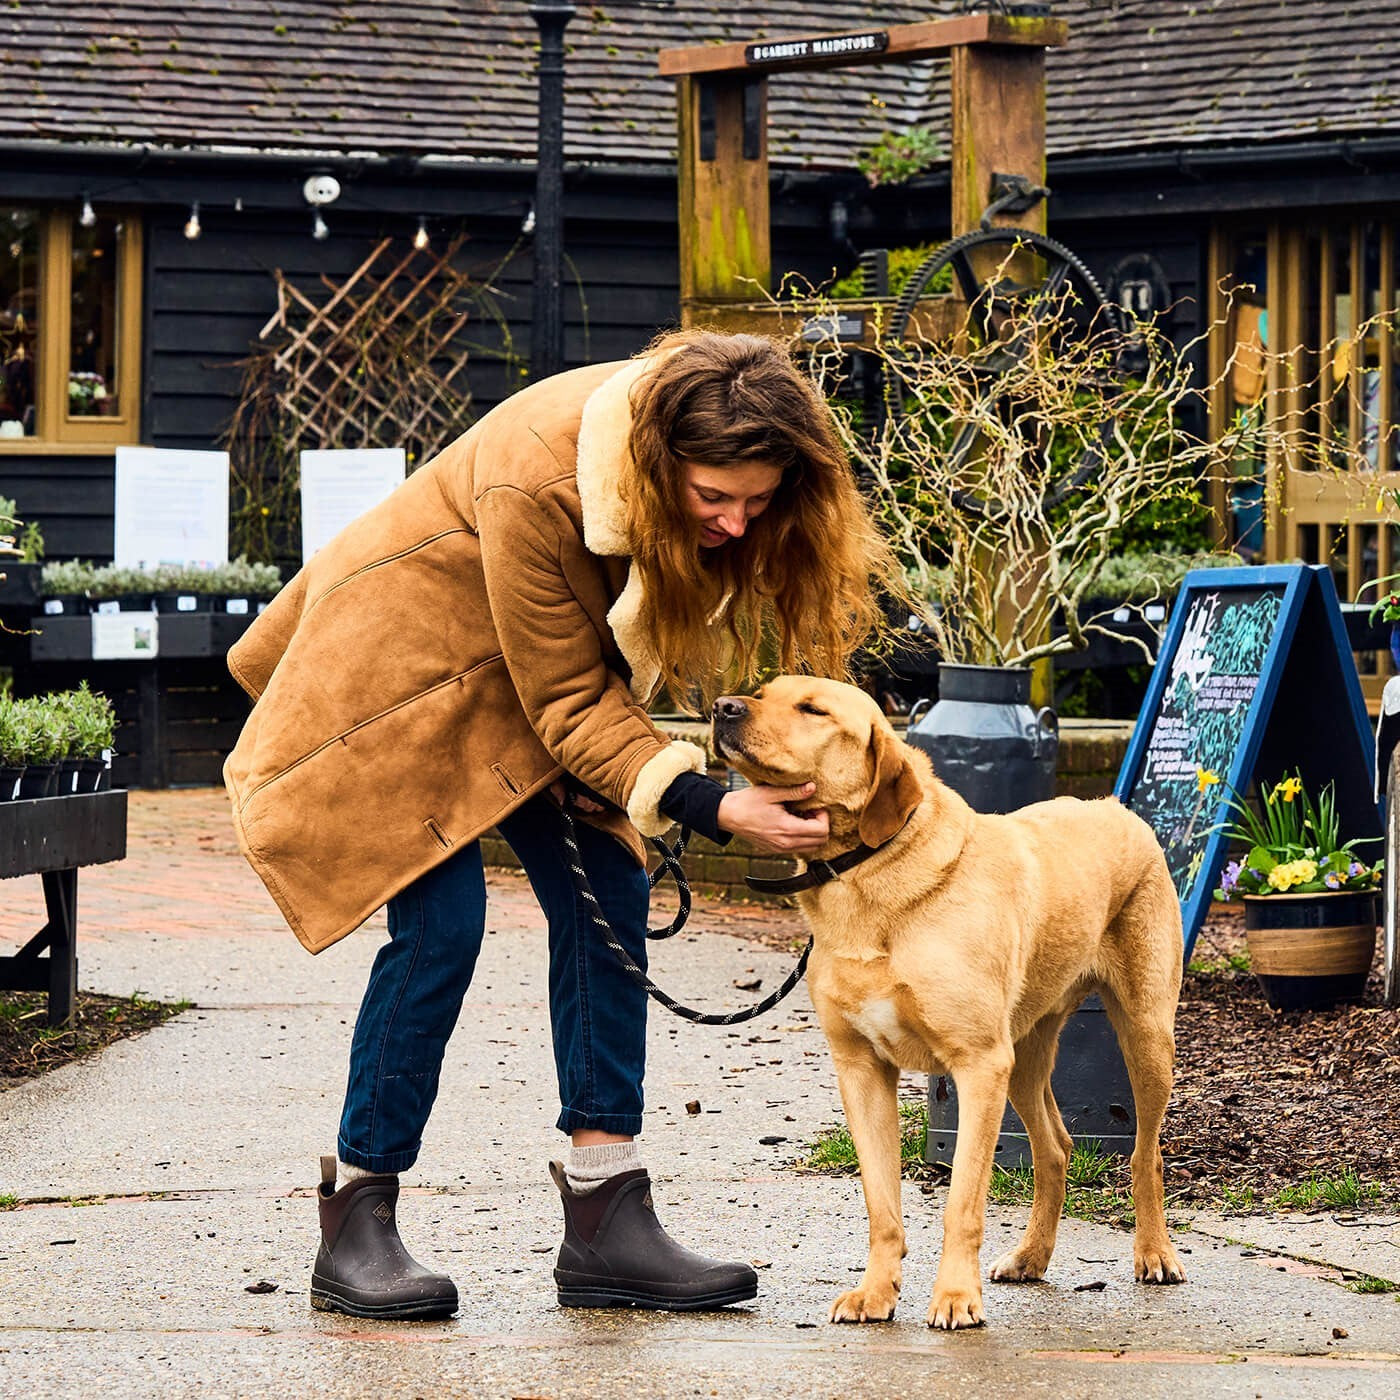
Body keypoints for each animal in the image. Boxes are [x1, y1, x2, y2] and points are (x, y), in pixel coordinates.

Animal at [711, 677, 1181, 1332]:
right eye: (763, 690)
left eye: (813, 710)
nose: (722, 708)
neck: (867, 875)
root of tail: (1114, 806)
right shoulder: (862, 1070)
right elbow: (882, 1205)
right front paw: (876, 1293)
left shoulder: (978, 1065)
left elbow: (962, 1202)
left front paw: (956, 1297)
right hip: (1026, 1056)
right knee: (1056, 1149)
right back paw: (1032, 1256)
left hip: (1143, 1035)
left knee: (1146, 1154)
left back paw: (1155, 1253)